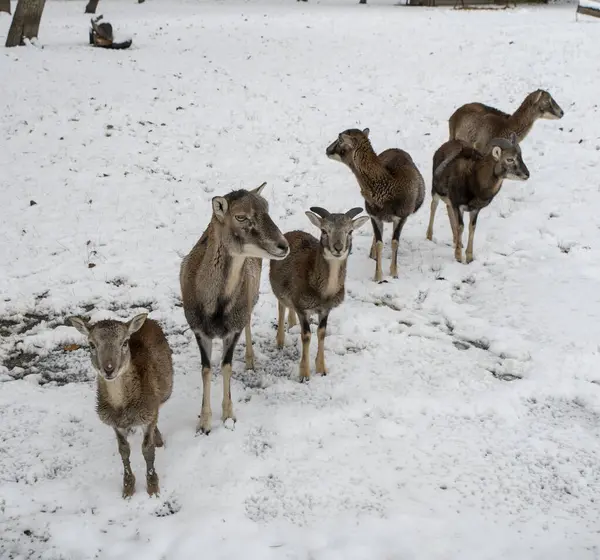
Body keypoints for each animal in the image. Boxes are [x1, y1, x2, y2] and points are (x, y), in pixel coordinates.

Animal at [66, 316, 172, 498]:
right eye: (91, 344)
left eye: (124, 342)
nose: (109, 369)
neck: (123, 407)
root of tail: (149, 320)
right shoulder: (115, 423)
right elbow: (124, 450)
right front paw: (128, 487)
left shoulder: (148, 411)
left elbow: (147, 449)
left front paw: (152, 486)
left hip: (166, 390)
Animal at [268, 208, 370, 382]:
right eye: (324, 231)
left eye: (350, 231)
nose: (338, 247)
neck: (323, 294)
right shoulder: (302, 307)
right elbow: (306, 335)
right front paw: (304, 374)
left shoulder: (325, 309)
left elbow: (321, 333)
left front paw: (322, 369)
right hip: (279, 289)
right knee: (281, 307)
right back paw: (280, 341)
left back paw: (292, 323)